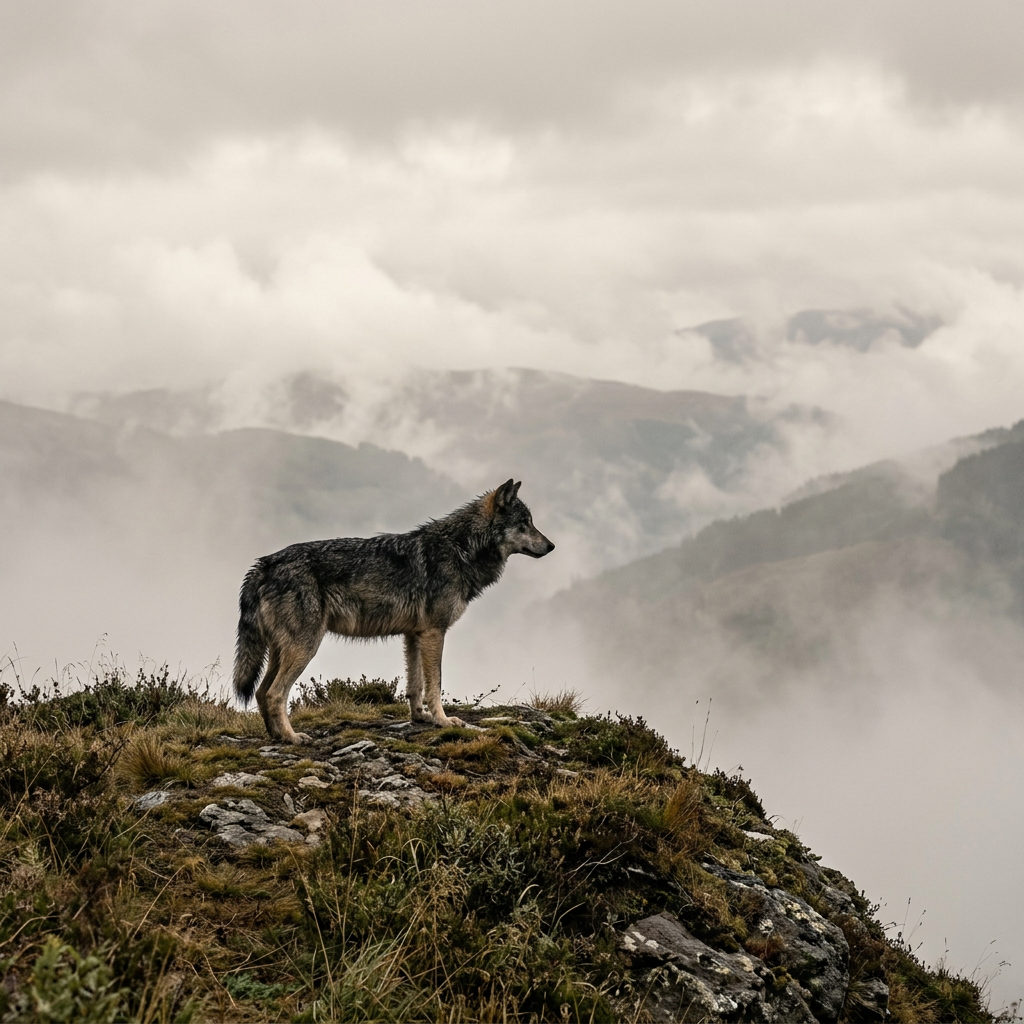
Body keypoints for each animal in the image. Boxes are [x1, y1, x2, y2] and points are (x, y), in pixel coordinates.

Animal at [233, 479, 555, 743]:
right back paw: (292, 738)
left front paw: (420, 718)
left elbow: (415, 686)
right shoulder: (434, 633)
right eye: (525, 523)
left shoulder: (414, 635)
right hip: (305, 647)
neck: (461, 548)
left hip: (283, 650)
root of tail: (263, 564)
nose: (551, 546)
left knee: (261, 692)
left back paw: (276, 736)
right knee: (274, 694)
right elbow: (435, 685)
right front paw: (443, 721)